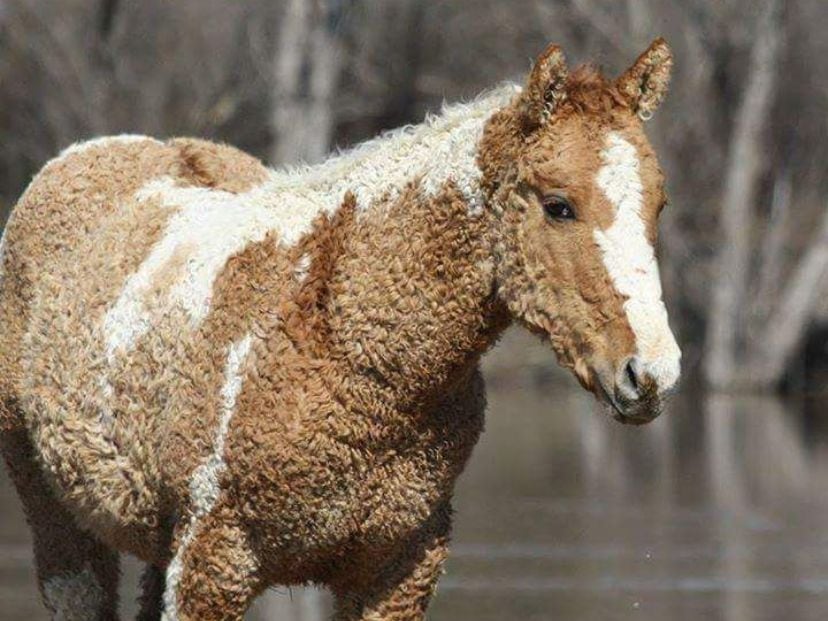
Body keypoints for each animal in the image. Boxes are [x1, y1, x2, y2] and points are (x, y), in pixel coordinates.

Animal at [0, 40, 680, 620]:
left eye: (659, 205)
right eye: (558, 205)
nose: (651, 373)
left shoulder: (397, 568)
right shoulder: (211, 563)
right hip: (57, 516)